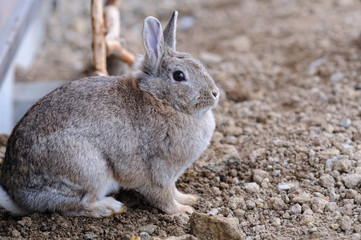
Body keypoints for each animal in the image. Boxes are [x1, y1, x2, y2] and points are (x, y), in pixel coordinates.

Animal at [0, 11, 219, 218]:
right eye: (179, 76)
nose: (215, 93)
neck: (161, 100)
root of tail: (18, 196)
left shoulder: (170, 177)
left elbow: (174, 191)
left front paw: (189, 198)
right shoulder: (159, 171)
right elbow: (164, 198)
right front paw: (183, 211)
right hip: (89, 169)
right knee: (71, 206)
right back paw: (110, 207)